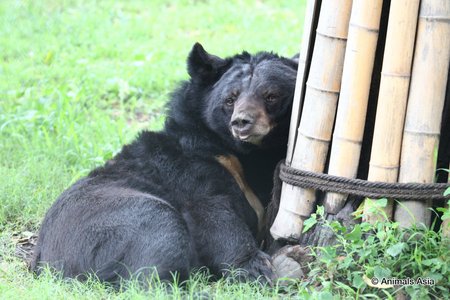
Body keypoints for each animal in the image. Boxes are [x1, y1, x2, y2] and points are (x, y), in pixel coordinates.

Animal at [31, 43, 298, 284]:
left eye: (271, 96)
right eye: (230, 99)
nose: (242, 122)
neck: (244, 152)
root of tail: (42, 258)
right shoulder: (189, 168)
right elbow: (212, 212)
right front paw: (257, 268)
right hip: (110, 224)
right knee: (157, 238)